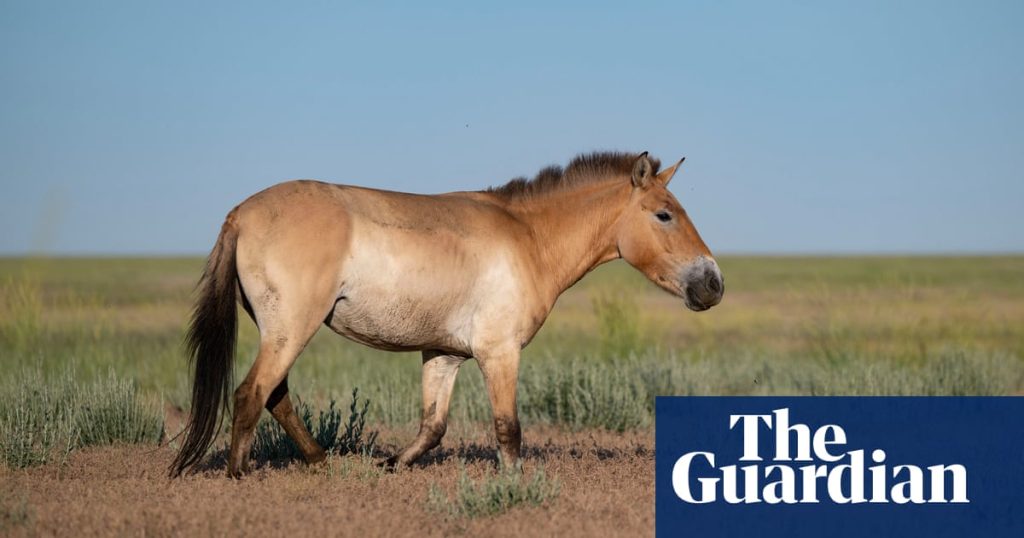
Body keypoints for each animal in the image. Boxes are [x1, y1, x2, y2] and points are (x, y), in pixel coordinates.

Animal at [169, 151, 724, 477]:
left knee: (275, 395)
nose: (713, 284)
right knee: (253, 393)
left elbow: (432, 427)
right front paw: (516, 486)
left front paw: (390, 465)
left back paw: (322, 461)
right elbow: (508, 428)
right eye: (664, 214)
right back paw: (239, 475)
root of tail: (240, 214)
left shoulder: (444, 354)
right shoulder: (499, 353)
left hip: (282, 331)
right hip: (291, 329)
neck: (528, 238)